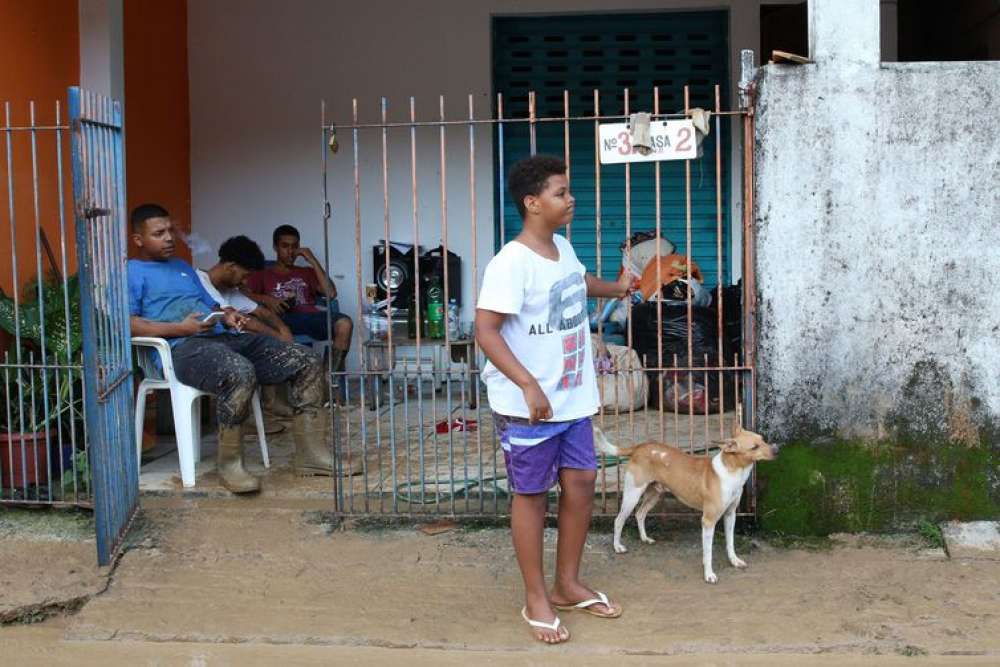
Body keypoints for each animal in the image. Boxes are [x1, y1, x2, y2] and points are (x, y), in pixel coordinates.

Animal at [592, 422, 780, 584]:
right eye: (754, 447)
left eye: (763, 439)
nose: (777, 449)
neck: (732, 472)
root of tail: (639, 447)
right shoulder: (708, 521)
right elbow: (708, 552)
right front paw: (709, 574)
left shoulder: (730, 514)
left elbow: (730, 543)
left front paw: (734, 561)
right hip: (632, 495)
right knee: (619, 520)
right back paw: (617, 547)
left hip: (654, 494)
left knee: (640, 514)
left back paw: (645, 538)